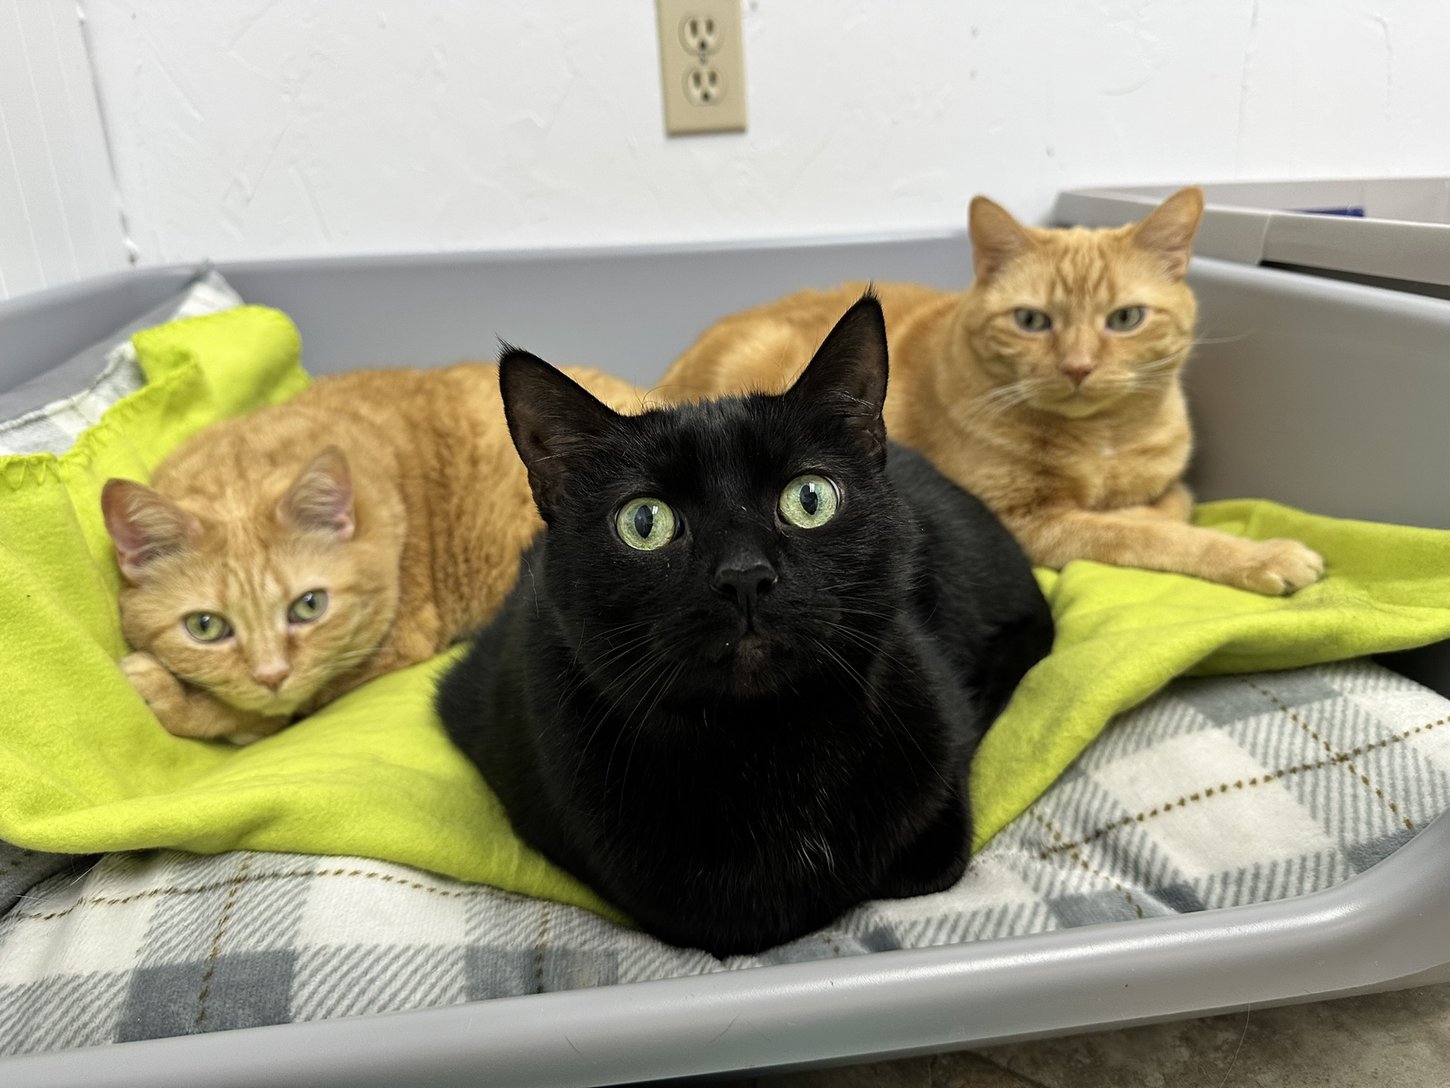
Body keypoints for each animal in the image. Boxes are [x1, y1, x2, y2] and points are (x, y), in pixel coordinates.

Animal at [100, 362, 640, 748]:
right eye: (206, 627)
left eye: (309, 606)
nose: (271, 675)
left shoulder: (390, 645)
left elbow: (269, 711)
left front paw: (171, 697)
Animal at [658, 187, 1328, 597]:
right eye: (1032, 321)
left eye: (1125, 319)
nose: (1079, 366)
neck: (1101, 441)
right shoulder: (1027, 522)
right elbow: (1151, 533)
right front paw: (1264, 556)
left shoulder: (1161, 481)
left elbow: (1173, 503)